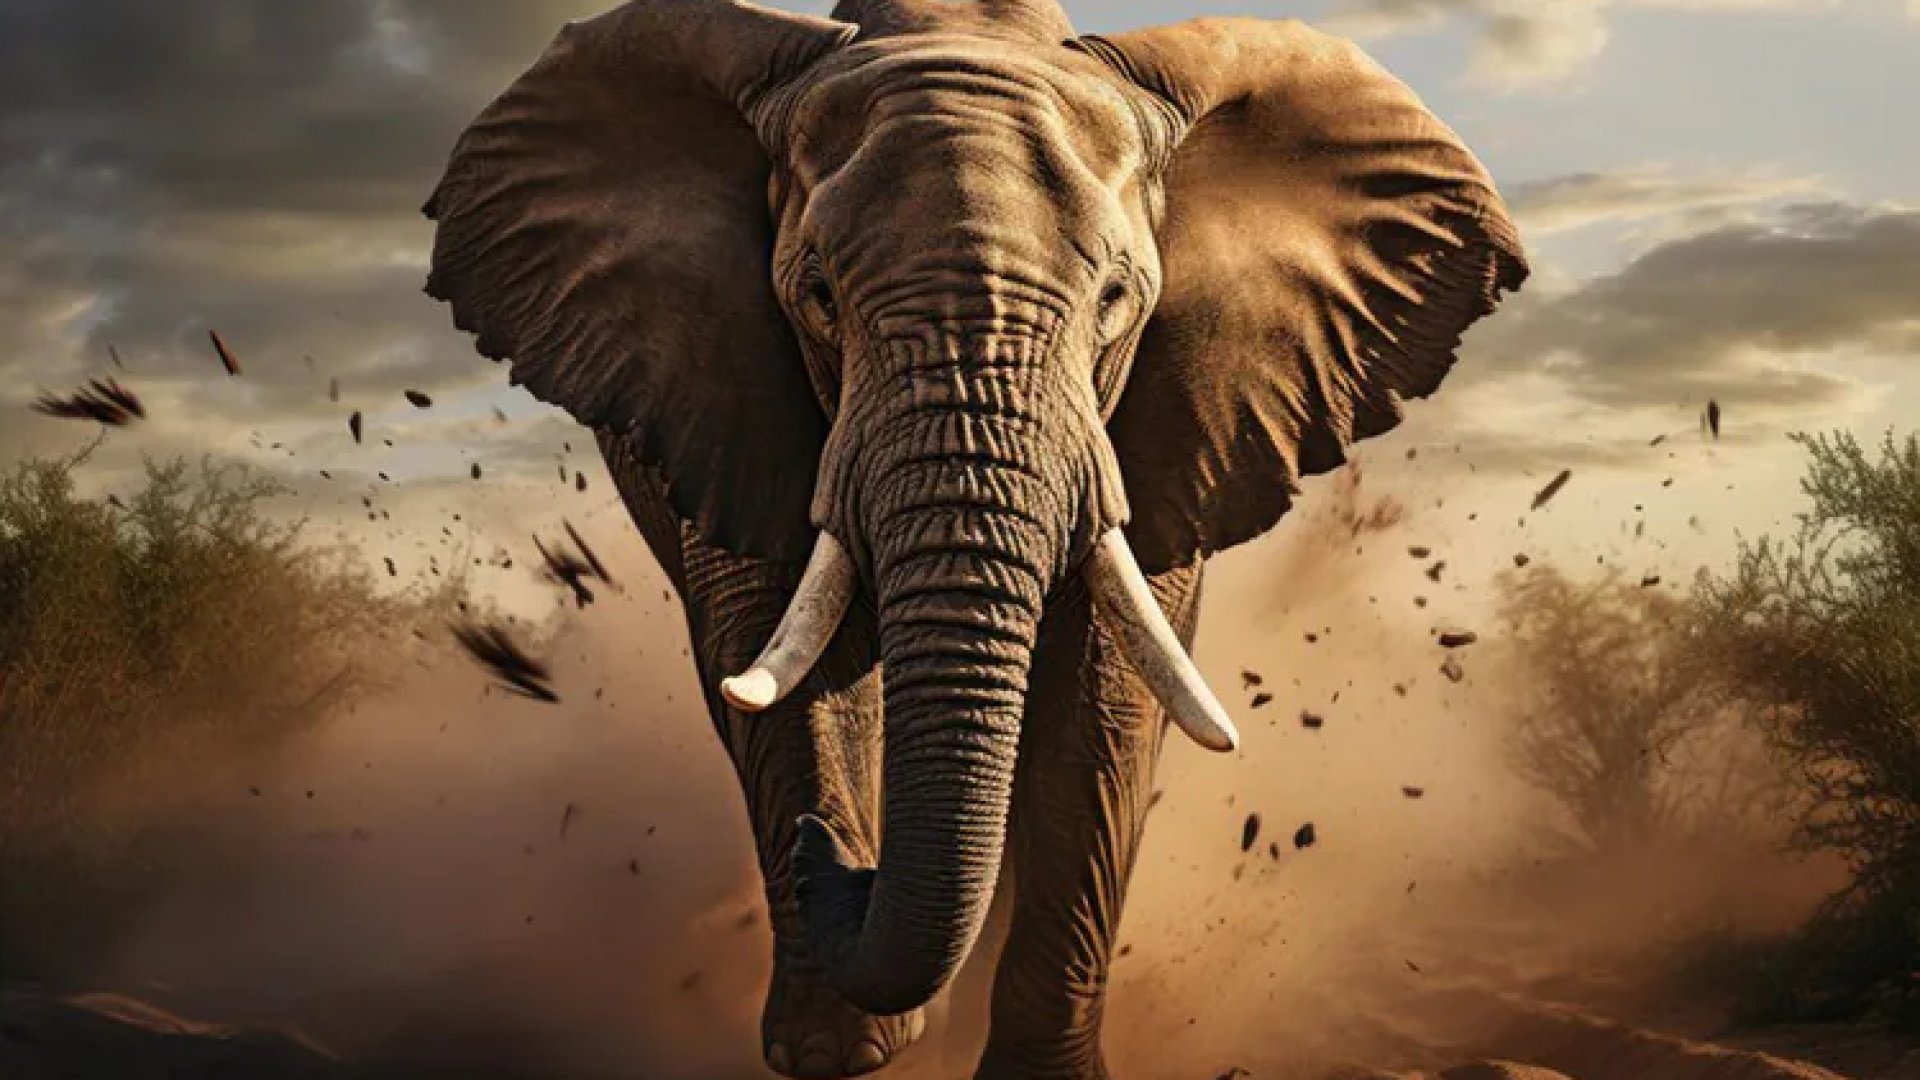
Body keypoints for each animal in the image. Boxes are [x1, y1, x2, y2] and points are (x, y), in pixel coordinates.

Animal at [421, 1, 1528, 1077]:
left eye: (1116, 300)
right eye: (817, 297)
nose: (829, 855)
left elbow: (1099, 705)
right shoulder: (728, 398)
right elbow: (792, 670)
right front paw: (836, 1054)